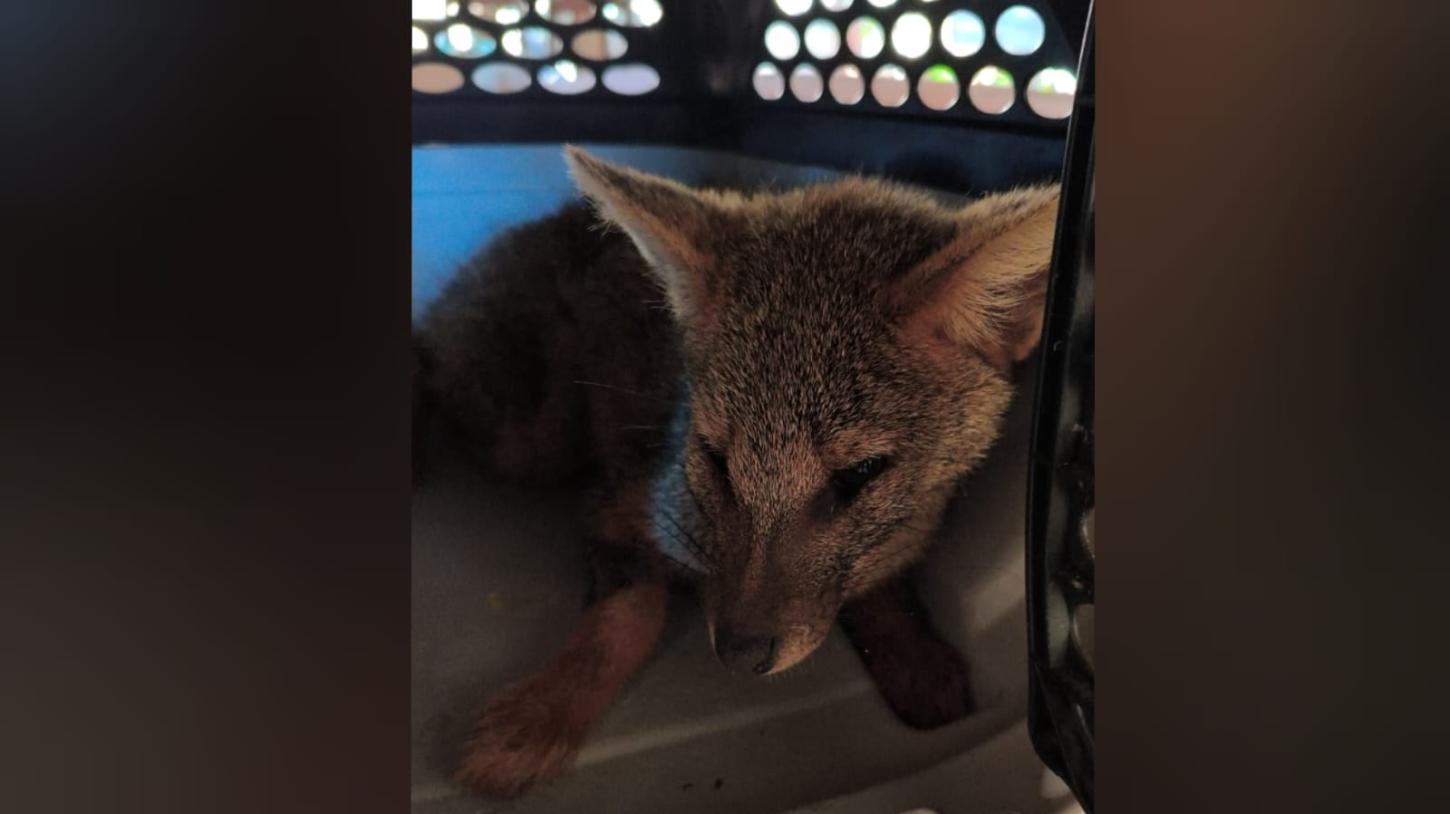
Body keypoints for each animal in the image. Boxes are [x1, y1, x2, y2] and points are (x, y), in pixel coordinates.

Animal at [412, 146, 1061, 797]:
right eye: (714, 457)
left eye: (861, 473)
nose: (739, 654)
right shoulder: (619, 505)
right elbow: (628, 614)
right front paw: (540, 715)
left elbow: (882, 586)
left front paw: (915, 657)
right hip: (528, 441)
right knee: (430, 362)